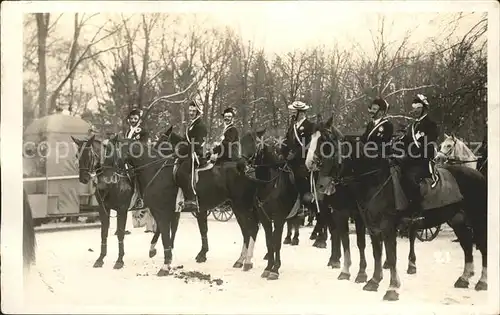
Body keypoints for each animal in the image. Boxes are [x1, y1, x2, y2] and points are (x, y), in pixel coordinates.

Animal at [72, 135, 134, 270]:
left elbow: (120, 233)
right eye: (77, 155)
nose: (83, 178)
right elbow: (103, 232)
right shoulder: (103, 209)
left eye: (89, 155)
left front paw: (120, 260)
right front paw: (100, 258)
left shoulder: (122, 210)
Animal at [240, 130, 302, 280]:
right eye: (241, 141)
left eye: (253, 142)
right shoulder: (265, 218)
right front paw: (268, 267)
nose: (242, 165)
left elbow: (276, 242)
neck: (268, 185)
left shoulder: (278, 218)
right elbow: (270, 241)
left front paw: (275, 270)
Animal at [304, 116, 488, 302]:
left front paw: (391, 288)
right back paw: (464, 278)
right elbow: (376, 252)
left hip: (478, 219)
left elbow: (390, 256)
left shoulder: (386, 226)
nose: (310, 164)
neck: (373, 180)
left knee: (482, 245)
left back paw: (482, 281)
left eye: (324, 141)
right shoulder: (371, 225)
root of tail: (479, 175)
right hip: (457, 220)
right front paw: (373, 281)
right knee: (467, 244)